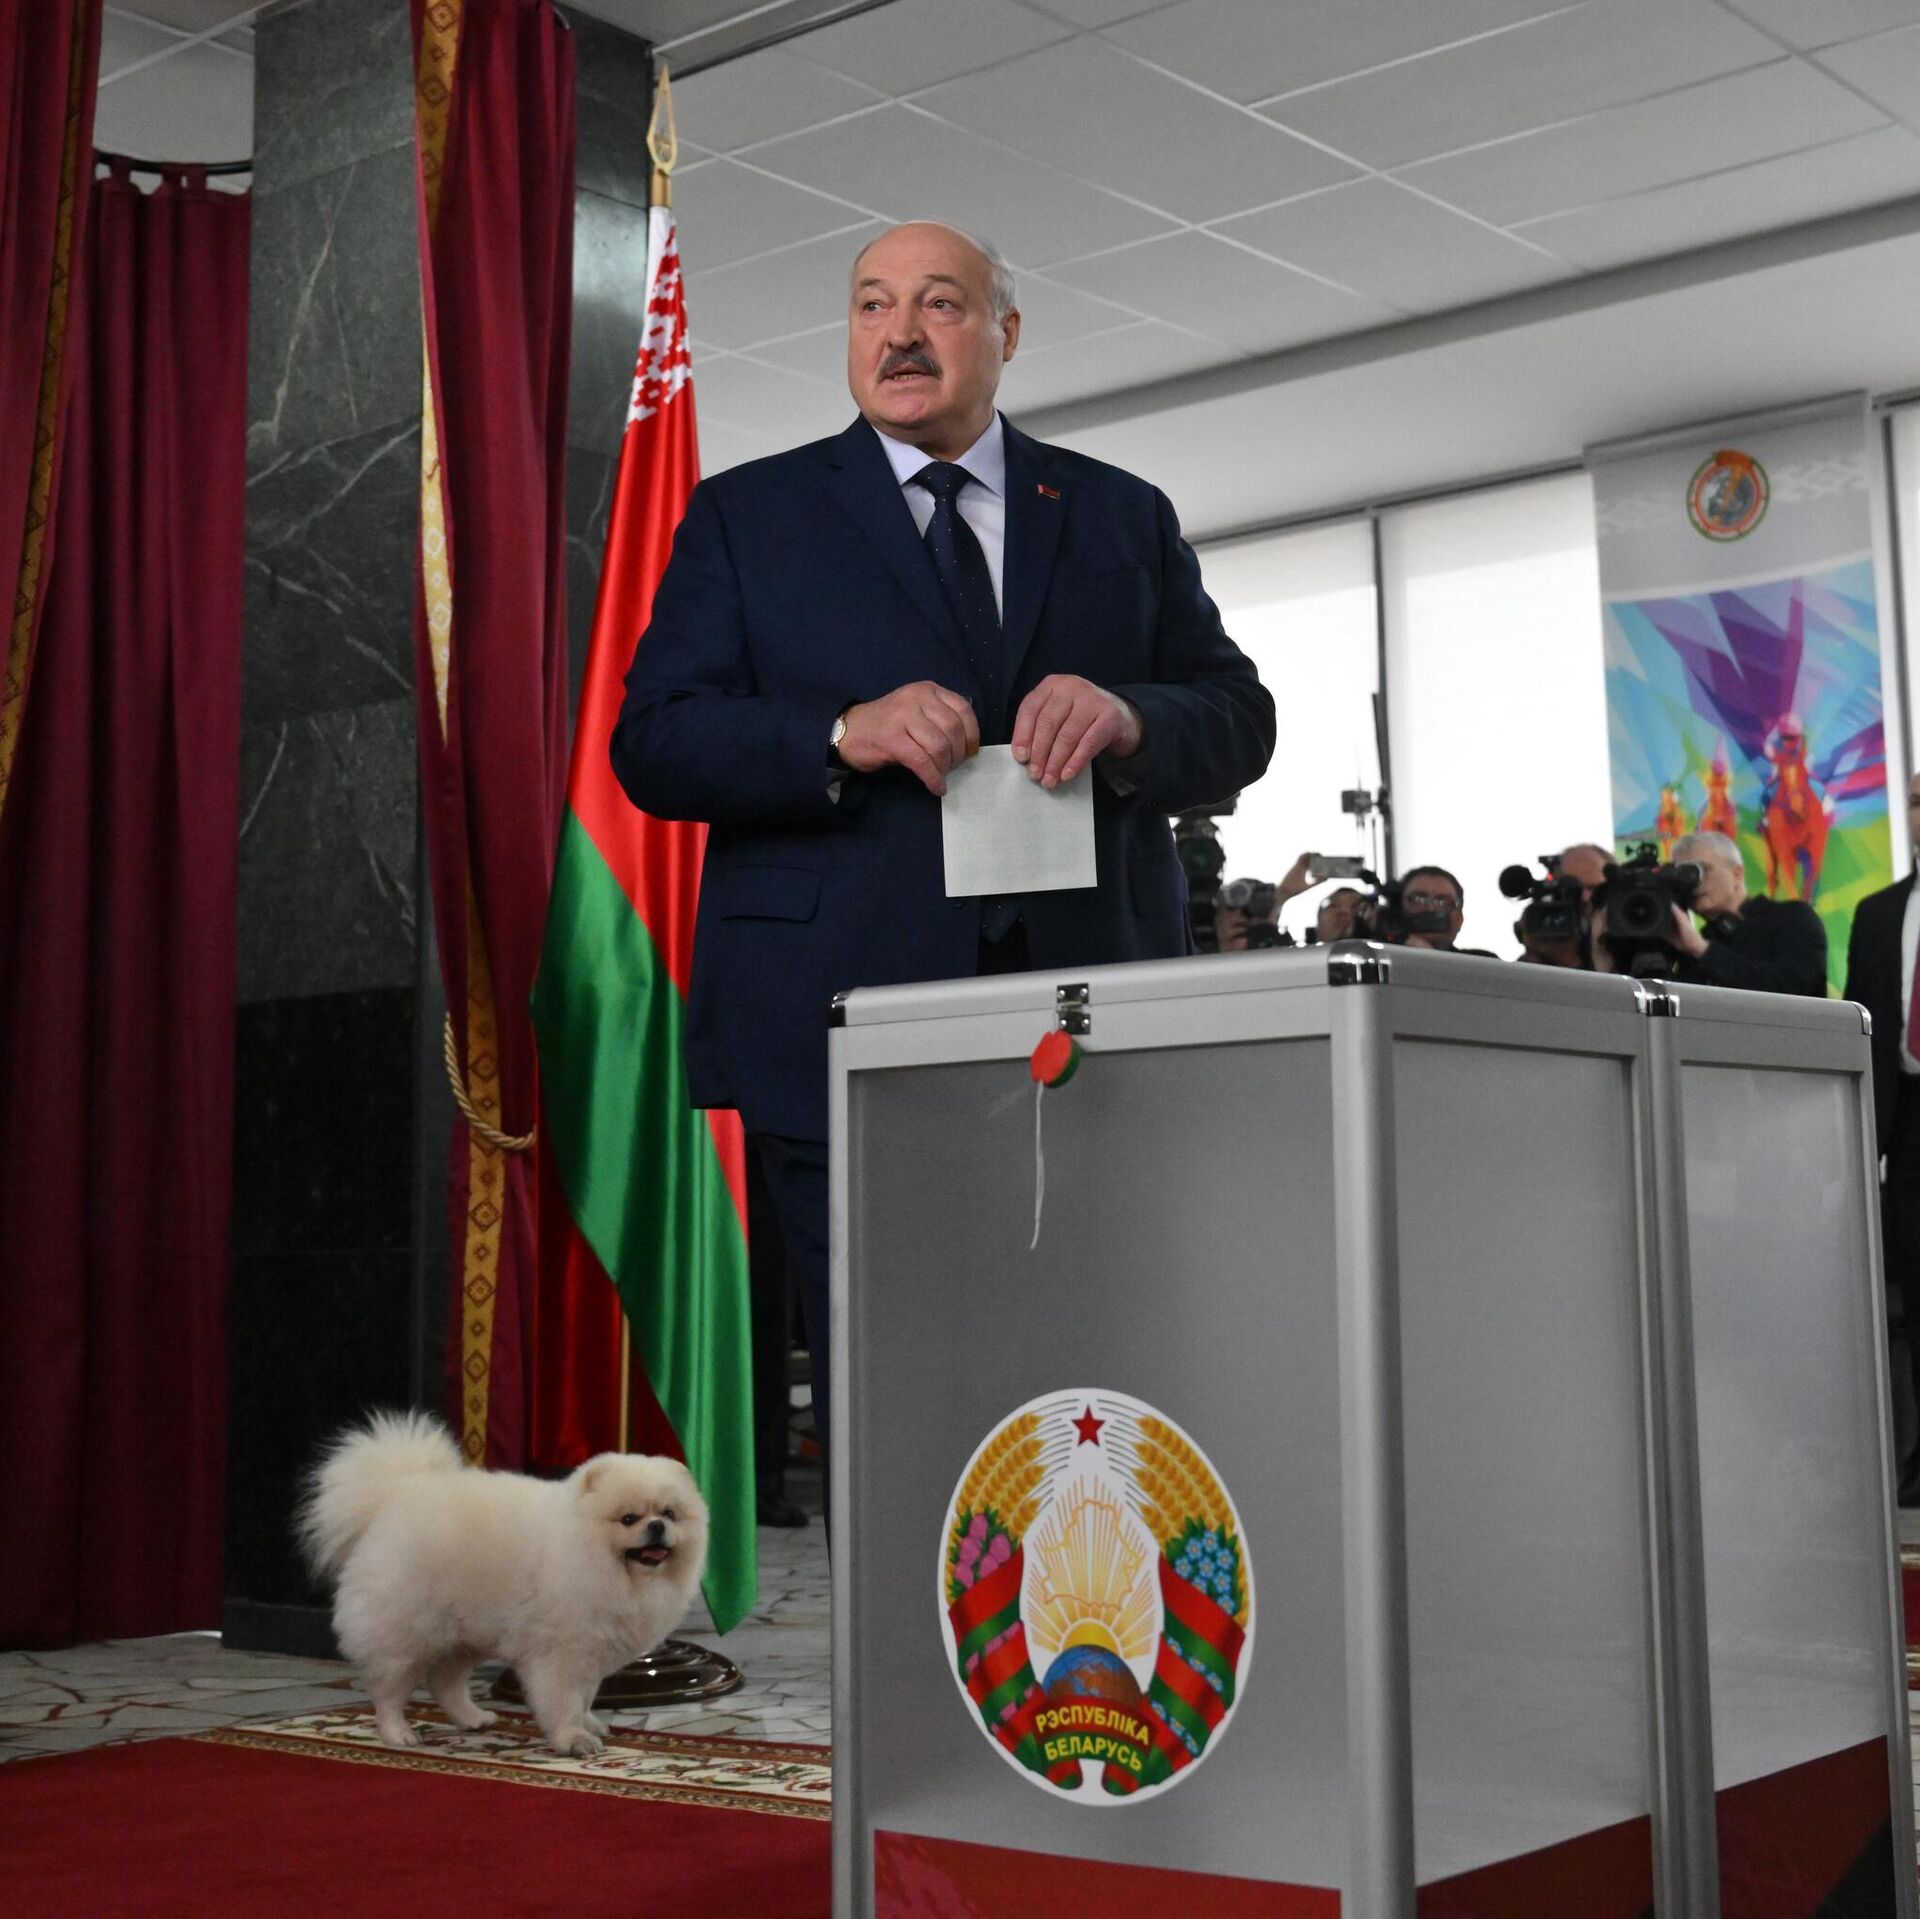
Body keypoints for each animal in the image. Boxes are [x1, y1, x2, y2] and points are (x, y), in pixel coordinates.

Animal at [298, 1411, 707, 1757]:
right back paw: (398, 1734)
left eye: (670, 1514)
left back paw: (472, 1718)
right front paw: (573, 1739)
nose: (656, 1526)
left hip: (462, 1636)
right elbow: (564, 1701)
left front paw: (588, 1724)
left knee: (444, 1683)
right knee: (388, 1691)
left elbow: (586, 1697)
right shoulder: (561, 1653)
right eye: (628, 1519)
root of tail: (392, 1499)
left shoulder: (591, 1650)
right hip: (406, 1635)